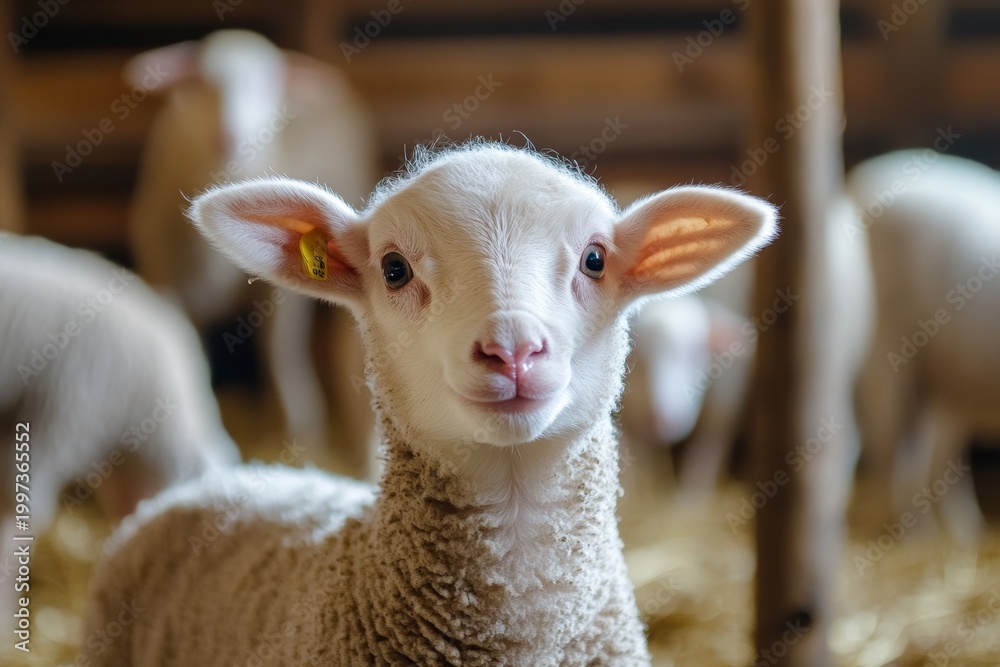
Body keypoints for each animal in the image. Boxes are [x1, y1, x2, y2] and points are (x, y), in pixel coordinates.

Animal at [126, 29, 378, 470]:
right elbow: (186, 352)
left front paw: (294, 433)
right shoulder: (165, 276)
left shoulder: (278, 292)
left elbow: (278, 352)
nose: (228, 137)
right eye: (198, 81)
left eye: (266, 84)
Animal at [846, 150, 1000, 542]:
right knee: (893, 446)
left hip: (939, 377)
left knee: (927, 451)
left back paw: (956, 529)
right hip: (892, 354)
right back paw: (913, 533)